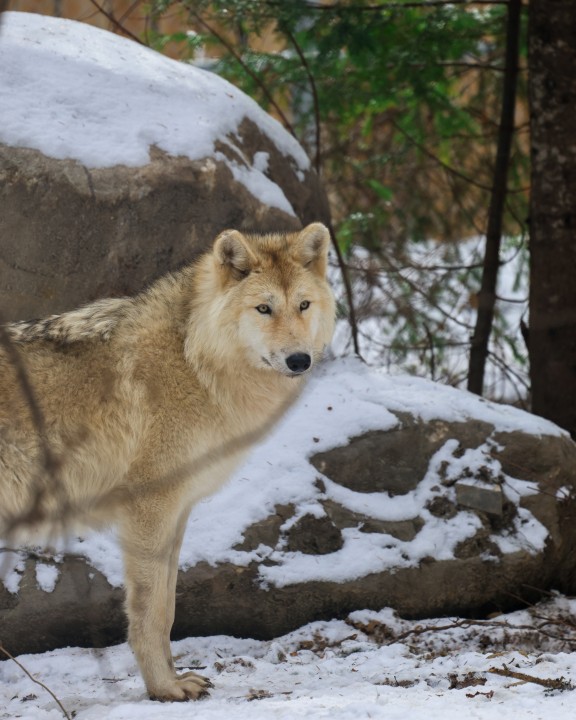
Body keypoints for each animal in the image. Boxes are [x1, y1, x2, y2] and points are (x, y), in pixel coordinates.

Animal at [0, 222, 336, 700]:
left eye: (304, 305)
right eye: (264, 308)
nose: (299, 360)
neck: (193, 355)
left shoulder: (178, 513)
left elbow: (170, 608)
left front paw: (175, 677)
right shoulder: (150, 507)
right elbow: (150, 611)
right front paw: (163, 689)